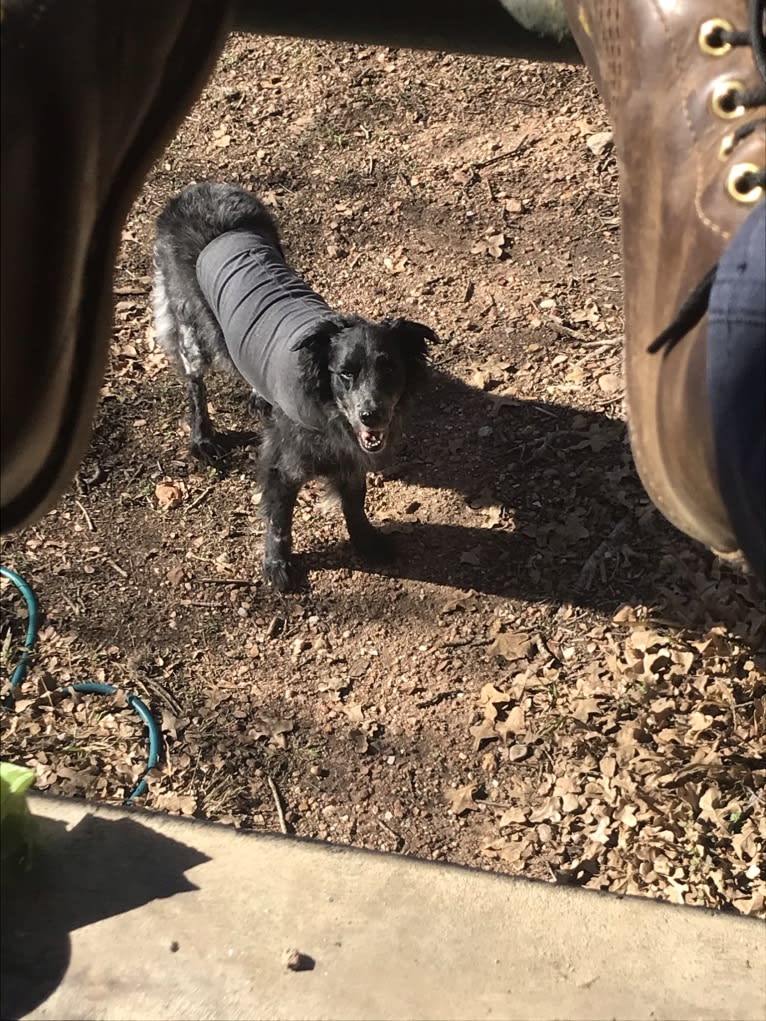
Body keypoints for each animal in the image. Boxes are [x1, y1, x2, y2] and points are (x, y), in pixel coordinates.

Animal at [153, 179, 435, 588]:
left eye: (389, 369)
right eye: (345, 373)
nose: (372, 416)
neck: (325, 405)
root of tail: (200, 188)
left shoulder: (349, 456)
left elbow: (356, 501)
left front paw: (366, 542)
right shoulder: (281, 464)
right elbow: (279, 519)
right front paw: (277, 565)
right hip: (191, 327)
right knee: (195, 382)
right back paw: (202, 437)